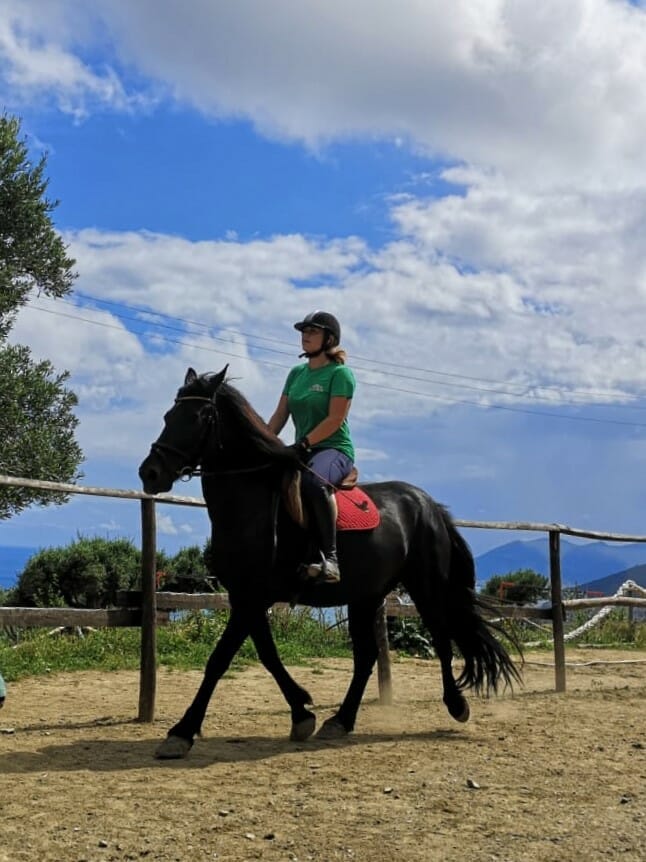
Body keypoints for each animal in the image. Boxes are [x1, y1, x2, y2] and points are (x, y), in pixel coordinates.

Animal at [140, 368, 520, 760]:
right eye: (169, 416)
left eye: (199, 418)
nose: (149, 473)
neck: (252, 506)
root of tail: (428, 504)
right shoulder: (246, 597)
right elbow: (266, 654)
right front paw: (301, 713)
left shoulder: (251, 598)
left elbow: (220, 659)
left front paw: (181, 732)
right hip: (366, 596)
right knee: (367, 656)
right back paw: (340, 720)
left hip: (425, 587)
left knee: (442, 640)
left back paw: (456, 704)